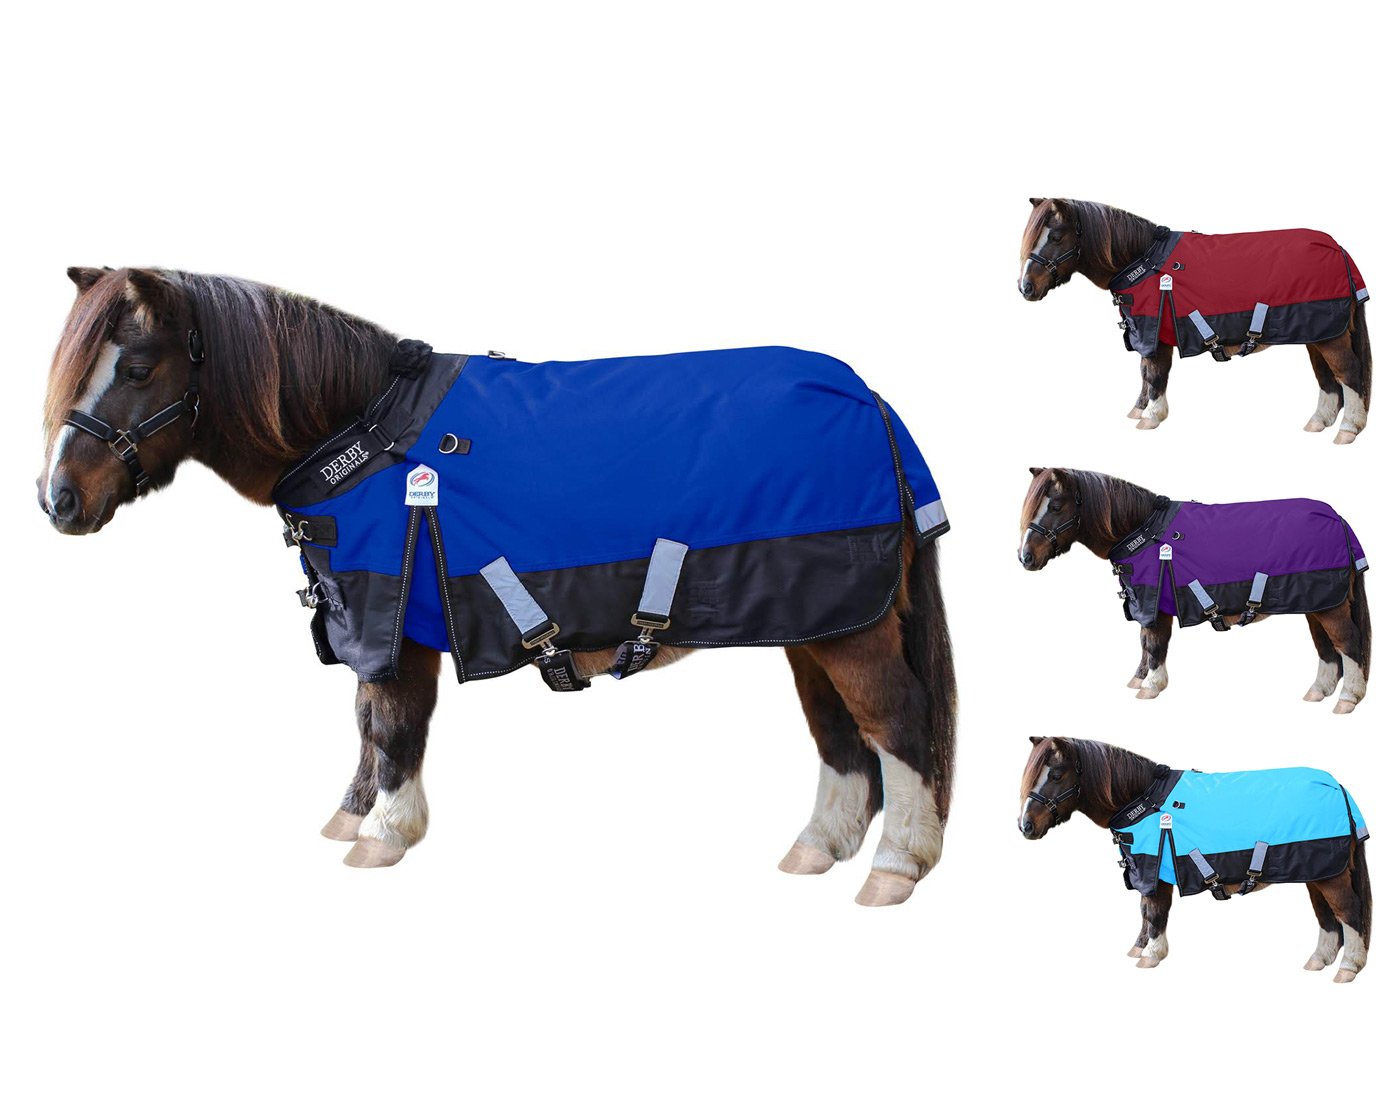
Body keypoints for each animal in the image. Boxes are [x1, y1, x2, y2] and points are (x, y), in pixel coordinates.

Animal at [35, 266, 956, 906]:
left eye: (139, 367)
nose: (57, 500)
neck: (363, 431)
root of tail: (870, 398)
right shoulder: (368, 616)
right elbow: (366, 721)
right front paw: (351, 816)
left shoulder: (394, 616)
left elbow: (394, 724)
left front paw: (385, 833)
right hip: (812, 621)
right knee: (839, 735)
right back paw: (818, 846)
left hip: (848, 626)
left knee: (895, 722)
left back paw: (894, 867)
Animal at [1018, 198, 1372, 442]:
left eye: (1057, 236)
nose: (1025, 287)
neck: (1143, 261)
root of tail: (1337, 247)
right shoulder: (1147, 333)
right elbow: (1145, 373)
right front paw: (1138, 410)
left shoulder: (1155, 334)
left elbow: (1155, 374)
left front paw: (1151, 416)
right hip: (1317, 334)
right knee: (1327, 378)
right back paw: (1318, 421)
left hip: (1329, 336)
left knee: (1348, 373)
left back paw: (1348, 429)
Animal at [1018, 468, 1370, 713]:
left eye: (1056, 505)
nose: (1026, 557)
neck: (1144, 531)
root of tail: (1337, 518)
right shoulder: (1146, 604)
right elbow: (1144, 643)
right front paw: (1138, 679)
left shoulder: (1155, 605)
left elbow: (1155, 644)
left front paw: (1151, 685)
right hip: (1316, 604)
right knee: (1326, 648)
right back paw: (1318, 691)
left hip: (1329, 606)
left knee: (1347, 643)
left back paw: (1347, 698)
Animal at [1018, 736, 1372, 982]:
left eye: (1057, 774)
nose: (1026, 826)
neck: (1143, 799)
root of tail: (1336, 785)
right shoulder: (1146, 871)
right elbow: (1145, 912)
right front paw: (1139, 948)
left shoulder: (1156, 871)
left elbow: (1155, 913)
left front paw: (1152, 955)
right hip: (1316, 873)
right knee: (1327, 917)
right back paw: (1318, 960)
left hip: (1330, 875)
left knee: (1348, 913)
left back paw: (1348, 968)